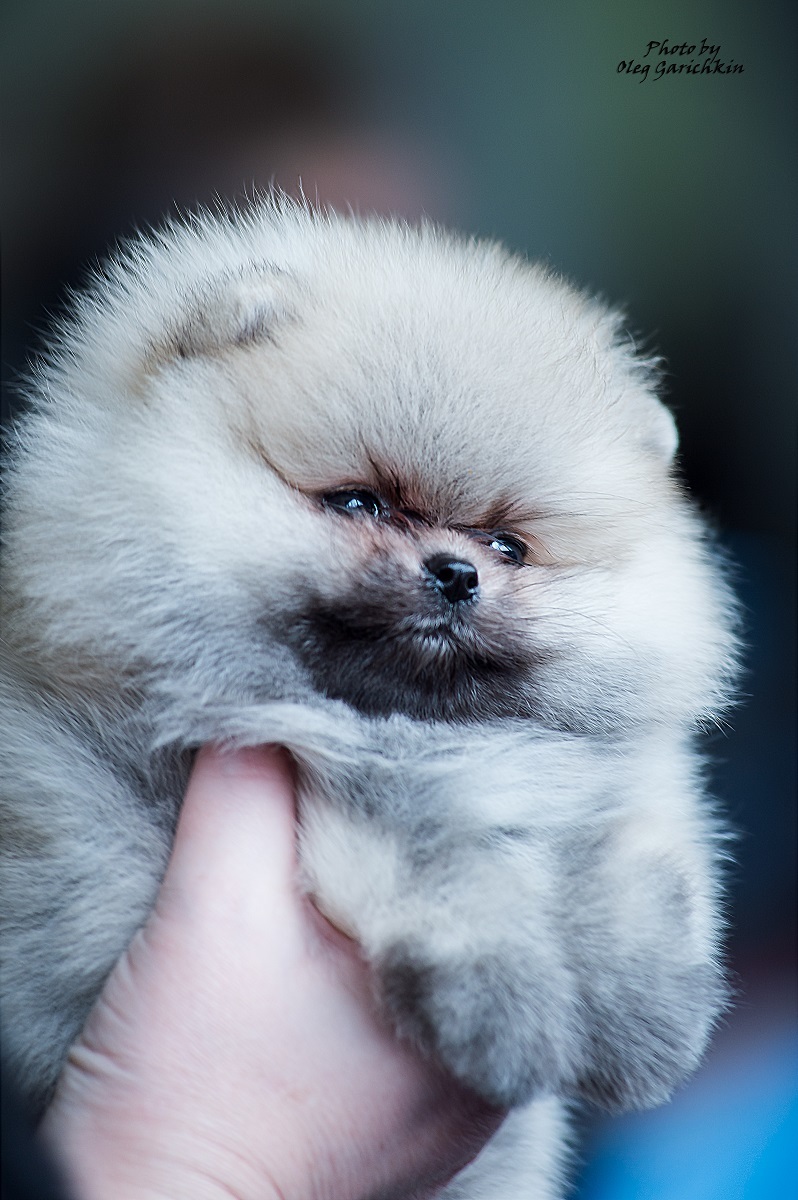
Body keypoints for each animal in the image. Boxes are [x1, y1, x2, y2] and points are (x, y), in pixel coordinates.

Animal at [0, 204, 739, 1200]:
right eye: (358, 502)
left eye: (508, 545)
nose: (457, 573)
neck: (410, 728)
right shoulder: (320, 769)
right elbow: (435, 857)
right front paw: (502, 999)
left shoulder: (609, 772)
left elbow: (639, 856)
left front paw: (646, 1004)